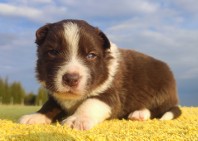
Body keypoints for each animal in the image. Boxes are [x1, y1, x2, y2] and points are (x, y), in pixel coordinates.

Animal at [19, 19, 182, 131]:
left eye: (91, 55)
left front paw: (77, 120)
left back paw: (139, 113)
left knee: (158, 109)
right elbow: (49, 105)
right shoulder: (56, 97)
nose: (71, 79)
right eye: (53, 52)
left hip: (162, 91)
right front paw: (36, 116)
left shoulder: (110, 94)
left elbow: (90, 103)